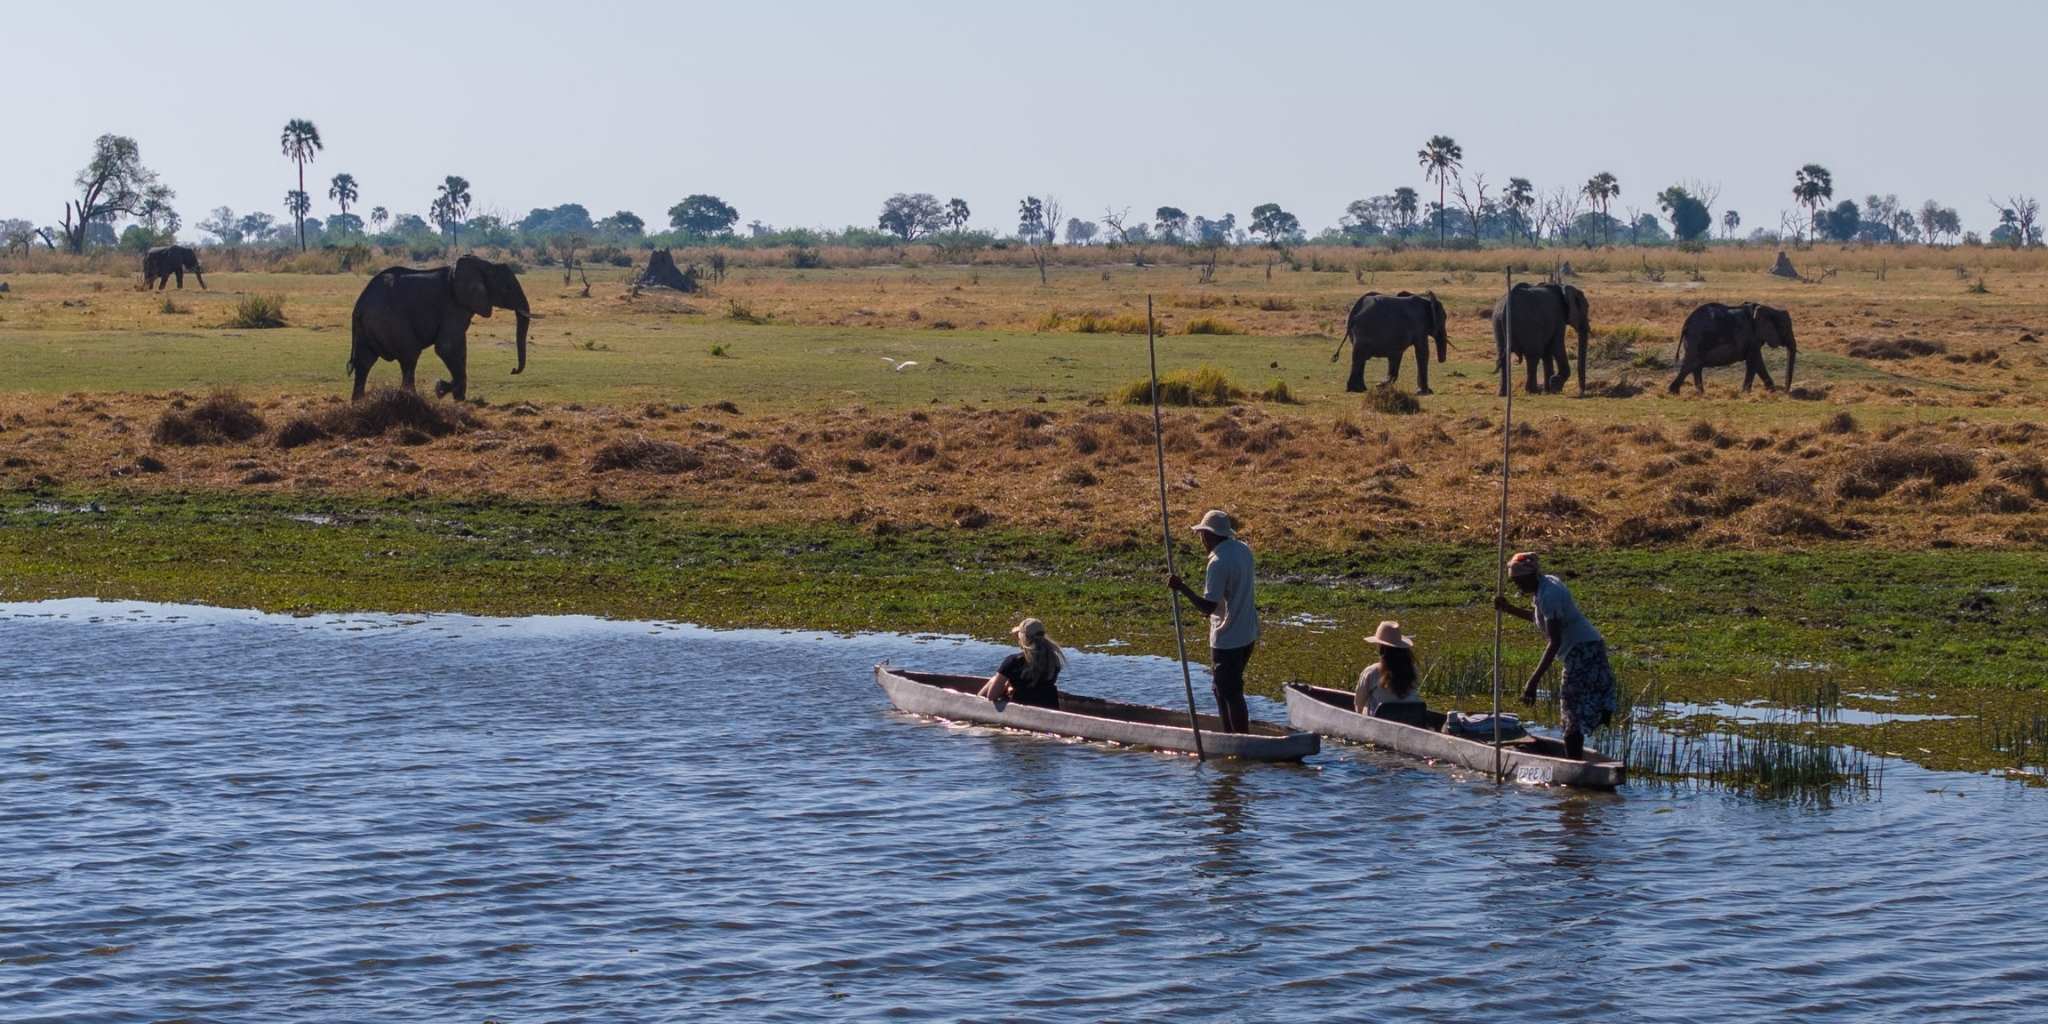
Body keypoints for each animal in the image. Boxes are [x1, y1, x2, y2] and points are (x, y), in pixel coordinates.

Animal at [347, 255, 532, 401]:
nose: (513, 370)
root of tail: (359, 307)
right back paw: (411, 399)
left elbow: (459, 348)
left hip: (368, 327)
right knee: (409, 357)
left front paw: (458, 398)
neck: (482, 264)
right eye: (507, 288)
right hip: (390, 320)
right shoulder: (453, 306)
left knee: (364, 362)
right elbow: (447, 347)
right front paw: (440, 389)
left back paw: (359, 403)